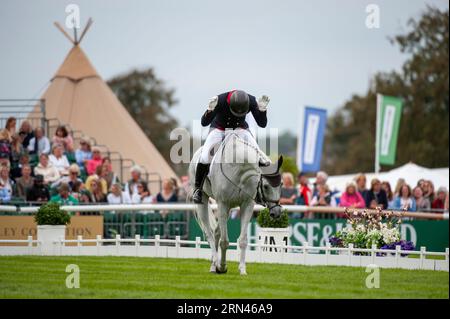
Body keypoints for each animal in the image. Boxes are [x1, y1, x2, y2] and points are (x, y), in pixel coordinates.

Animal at [188, 131, 284, 276]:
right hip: (204, 201)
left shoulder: (247, 205)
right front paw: (222, 267)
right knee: (210, 234)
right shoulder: (222, 204)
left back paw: (213, 265)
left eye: (281, 185)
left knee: (216, 232)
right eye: (266, 186)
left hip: (229, 209)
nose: (277, 212)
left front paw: (242, 269)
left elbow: (243, 240)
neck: (238, 169)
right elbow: (224, 241)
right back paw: (215, 264)